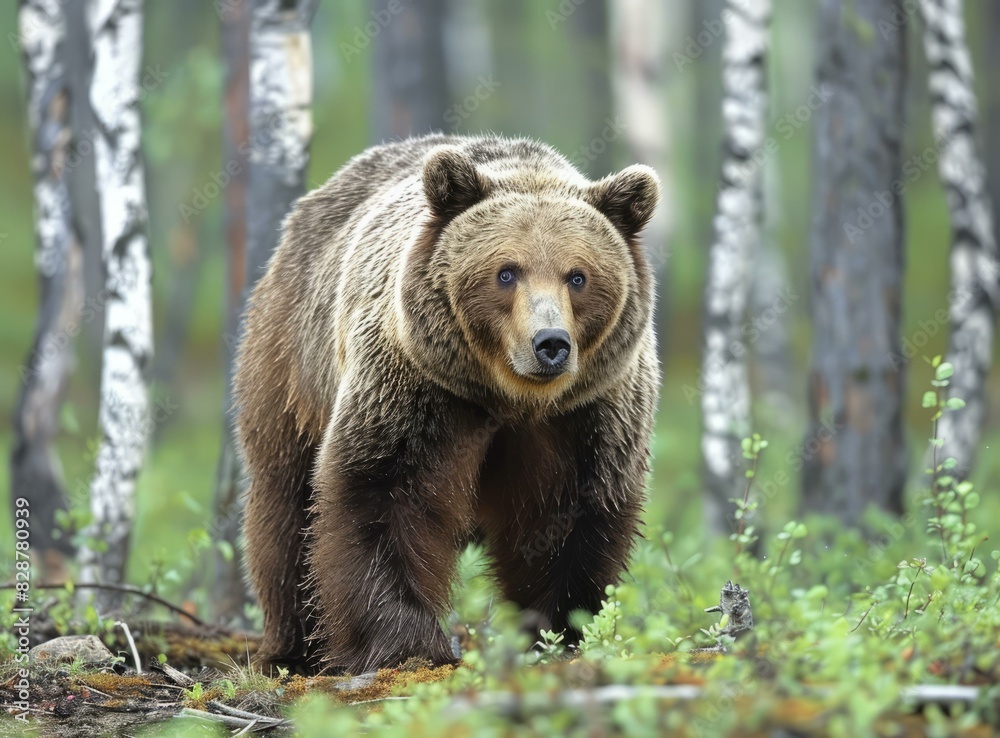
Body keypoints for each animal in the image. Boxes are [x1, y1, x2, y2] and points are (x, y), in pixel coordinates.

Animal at [232, 132, 656, 672]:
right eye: (506, 272)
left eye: (577, 276)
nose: (550, 344)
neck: (510, 397)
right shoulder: (417, 386)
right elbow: (382, 492)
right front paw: (407, 644)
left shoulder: (587, 413)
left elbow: (568, 516)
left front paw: (554, 633)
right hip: (291, 359)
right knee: (285, 504)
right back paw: (294, 646)